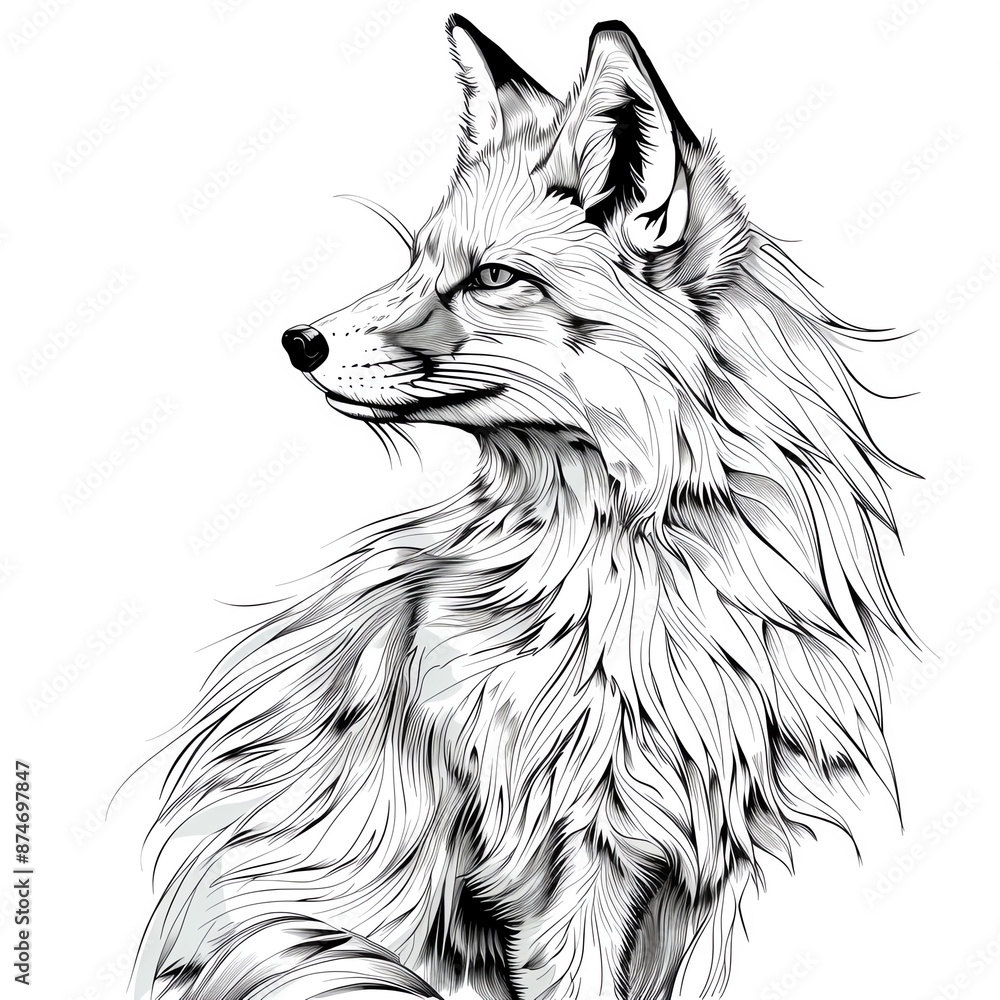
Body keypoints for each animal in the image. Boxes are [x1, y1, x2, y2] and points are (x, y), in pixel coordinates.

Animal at [137, 15, 916, 1000]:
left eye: (493, 278)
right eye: (416, 263)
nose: (297, 340)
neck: (647, 597)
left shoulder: (694, 869)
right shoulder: (561, 865)